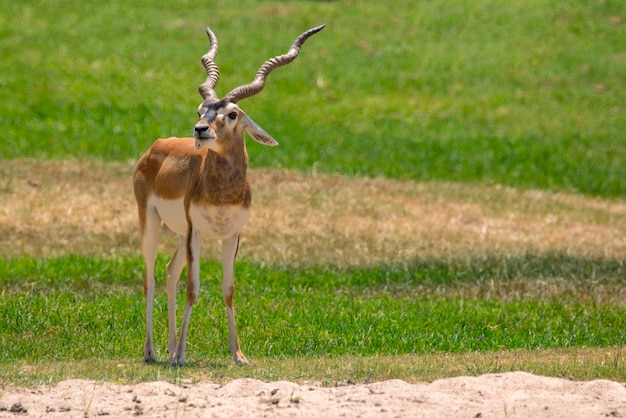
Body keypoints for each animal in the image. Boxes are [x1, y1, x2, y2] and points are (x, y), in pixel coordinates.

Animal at [133, 24, 324, 364]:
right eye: (201, 109)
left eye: (233, 114)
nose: (200, 130)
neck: (221, 194)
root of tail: (155, 147)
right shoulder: (196, 232)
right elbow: (193, 288)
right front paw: (181, 357)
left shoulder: (232, 234)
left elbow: (228, 289)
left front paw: (238, 354)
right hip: (152, 224)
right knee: (151, 279)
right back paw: (152, 352)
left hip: (180, 235)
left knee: (169, 273)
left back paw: (169, 347)